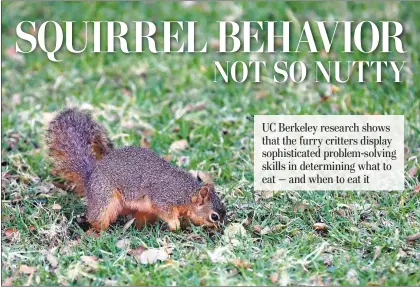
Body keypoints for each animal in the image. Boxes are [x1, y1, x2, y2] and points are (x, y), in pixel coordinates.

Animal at [46, 109, 226, 233]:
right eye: (214, 216)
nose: (221, 229)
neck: (187, 193)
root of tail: (90, 177)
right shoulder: (164, 198)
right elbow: (166, 211)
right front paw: (175, 225)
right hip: (104, 199)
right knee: (97, 218)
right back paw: (96, 232)